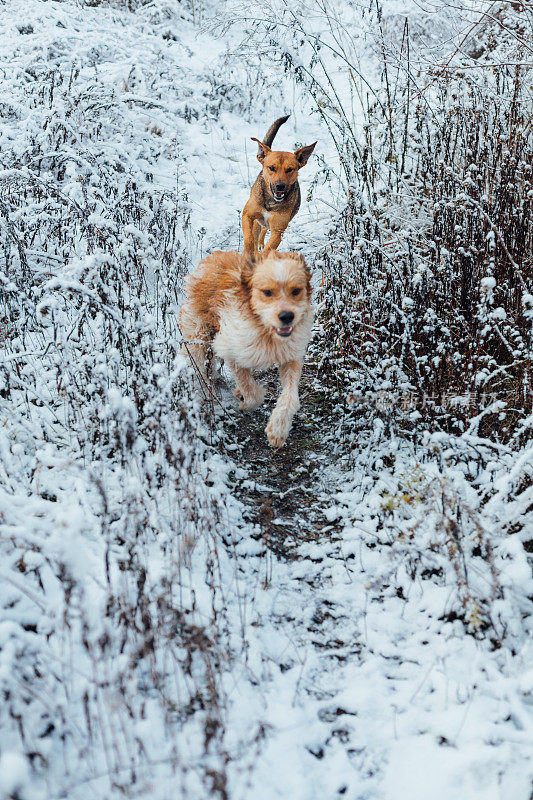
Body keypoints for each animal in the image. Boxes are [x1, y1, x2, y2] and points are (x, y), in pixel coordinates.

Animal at [180, 252, 312, 450]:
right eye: (267, 292)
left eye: (296, 291)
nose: (287, 316)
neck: (266, 331)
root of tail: (213, 258)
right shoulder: (231, 348)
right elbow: (250, 390)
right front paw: (245, 402)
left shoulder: (290, 357)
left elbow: (290, 397)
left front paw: (278, 430)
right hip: (198, 337)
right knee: (198, 365)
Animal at [242, 115, 316, 258]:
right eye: (271, 168)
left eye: (290, 169)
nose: (280, 186)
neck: (270, 202)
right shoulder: (247, 215)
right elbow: (249, 238)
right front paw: (248, 252)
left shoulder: (277, 232)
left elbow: (267, 250)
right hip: (256, 219)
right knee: (256, 230)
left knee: (263, 230)